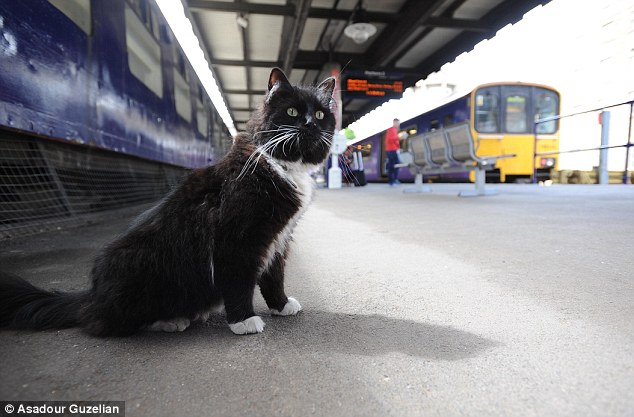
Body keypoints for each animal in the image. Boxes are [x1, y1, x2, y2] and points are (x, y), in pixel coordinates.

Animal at [0, 67, 336, 334]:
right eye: (292, 112)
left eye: (321, 114)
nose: (310, 124)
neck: (279, 164)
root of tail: (91, 295)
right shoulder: (238, 238)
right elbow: (239, 280)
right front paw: (243, 321)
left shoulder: (278, 238)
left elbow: (273, 277)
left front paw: (281, 305)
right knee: (104, 324)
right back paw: (171, 320)